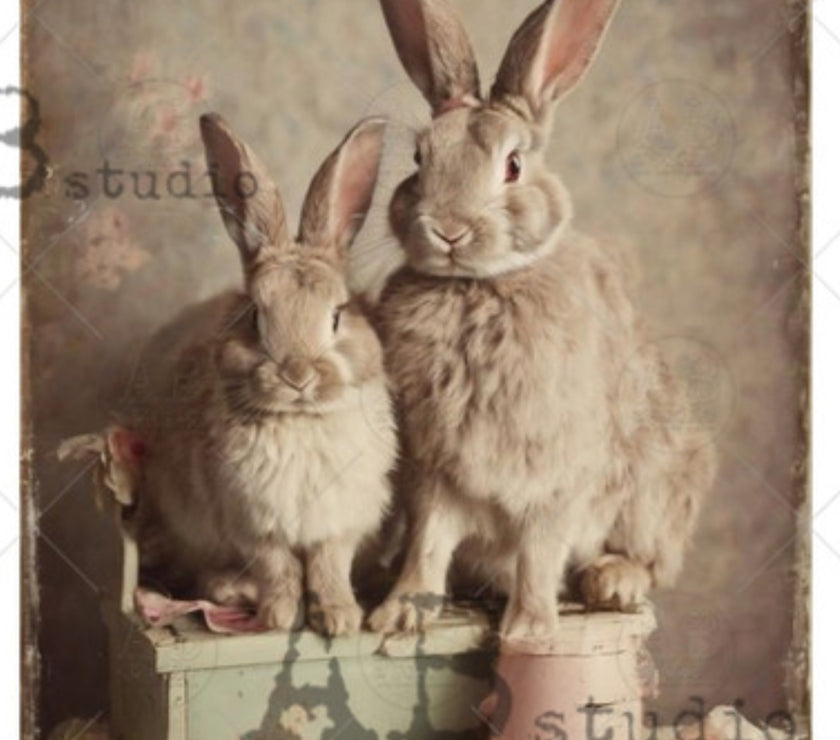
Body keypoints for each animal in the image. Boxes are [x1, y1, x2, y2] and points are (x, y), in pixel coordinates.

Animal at [128, 112, 397, 636]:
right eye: (255, 316)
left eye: (338, 315)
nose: (297, 375)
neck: (300, 420)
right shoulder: (253, 525)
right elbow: (279, 567)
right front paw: (279, 617)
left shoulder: (340, 522)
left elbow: (330, 565)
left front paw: (340, 618)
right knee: (208, 574)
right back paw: (236, 592)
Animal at [366, 0, 717, 639]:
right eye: (419, 159)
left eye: (512, 165)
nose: (449, 229)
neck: (478, 285)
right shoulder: (434, 471)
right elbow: (428, 542)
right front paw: (399, 614)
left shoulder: (555, 473)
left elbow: (539, 549)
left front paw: (530, 630)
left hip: (655, 490)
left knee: (650, 560)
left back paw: (612, 581)